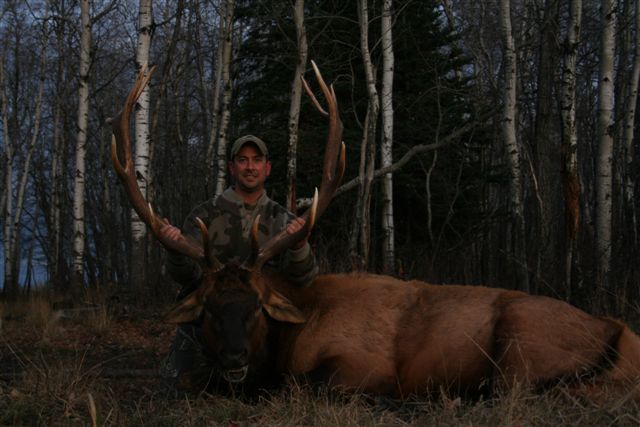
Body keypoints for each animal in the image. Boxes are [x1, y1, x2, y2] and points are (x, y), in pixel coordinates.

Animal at [112, 64, 640, 402]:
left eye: (258, 307)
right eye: (207, 309)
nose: (234, 357)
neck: (292, 334)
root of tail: (621, 333)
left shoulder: (362, 362)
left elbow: (299, 387)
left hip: (521, 343)